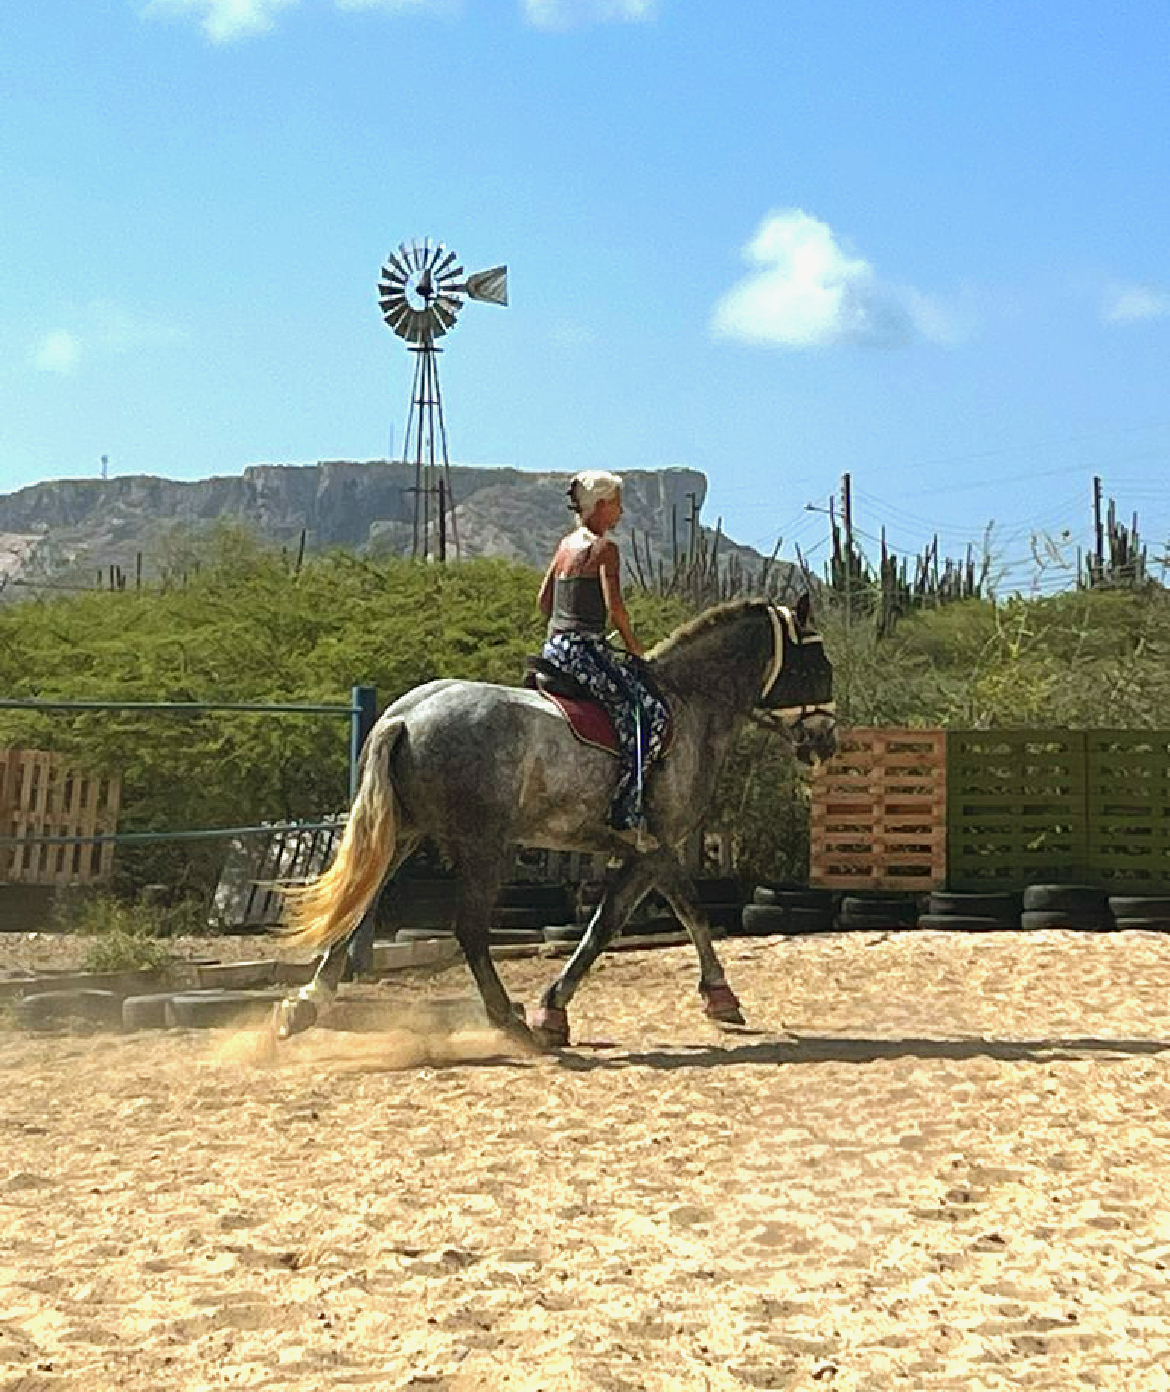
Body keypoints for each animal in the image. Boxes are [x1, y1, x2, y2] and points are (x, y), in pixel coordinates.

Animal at [274, 593, 836, 1050]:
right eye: (820, 666)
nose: (826, 741)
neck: (688, 704)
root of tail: (405, 718)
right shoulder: (654, 846)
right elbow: (627, 921)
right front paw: (554, 1010)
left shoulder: (648, 848)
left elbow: (676, 910)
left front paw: (718, 996)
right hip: (484, 847)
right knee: (469, 930)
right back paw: (510, 1020)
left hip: (406, 835)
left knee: (359, 907)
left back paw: (304, 1006)